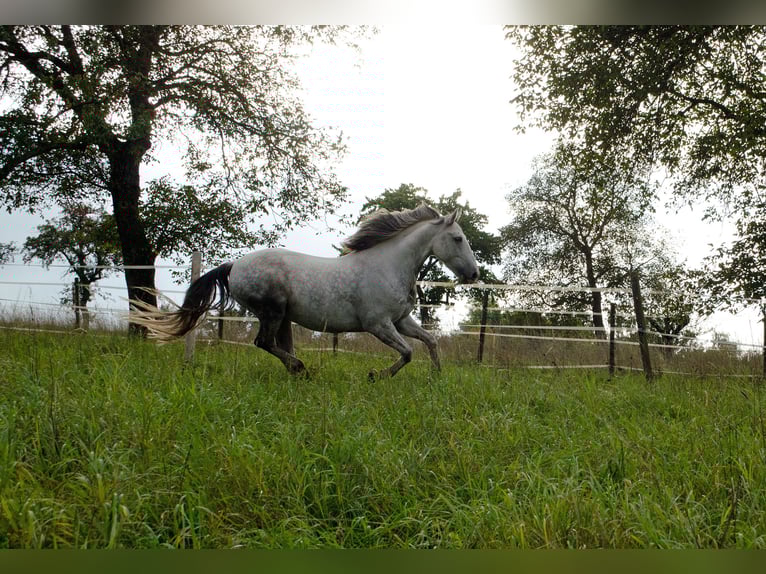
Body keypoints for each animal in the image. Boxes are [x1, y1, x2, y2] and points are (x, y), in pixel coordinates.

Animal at [129, 203, 480, 379]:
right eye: (458, 238)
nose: (474, 274)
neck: (389, 265)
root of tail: (233, 266)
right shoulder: (378, 324)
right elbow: (407, 352)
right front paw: (375, 375)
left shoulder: (401, 320)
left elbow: (430, 341)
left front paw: (437, 377)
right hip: (272, 312)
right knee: (264, 343)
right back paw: (301, 369)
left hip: (283, 317)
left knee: (276, 346)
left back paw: (298, 372)